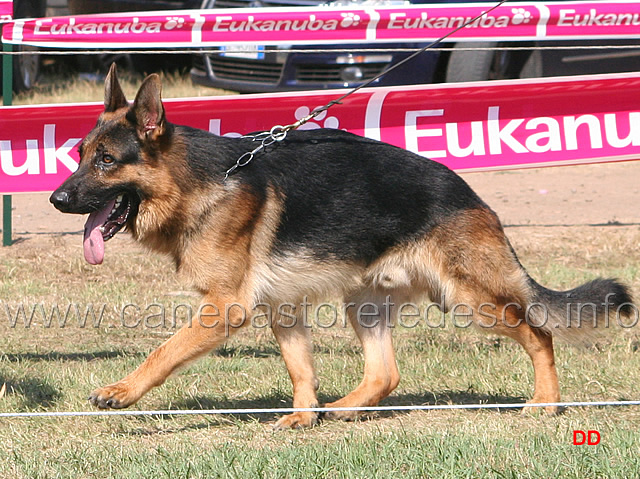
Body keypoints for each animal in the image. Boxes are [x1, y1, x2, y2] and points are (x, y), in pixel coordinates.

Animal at [51, 65, 632, 430]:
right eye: (79, 155)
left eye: (106, 161)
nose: (57, 199)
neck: (193, 184)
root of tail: (468, 192)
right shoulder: (282, 307)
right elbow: (301, 369)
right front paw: (304, 415)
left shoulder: (224, 309)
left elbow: (163, 352)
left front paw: (121, 392)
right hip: (365, 302)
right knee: (385, 373)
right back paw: (345, 407)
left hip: (469, 298)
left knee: (540, 334)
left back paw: (545, 403)